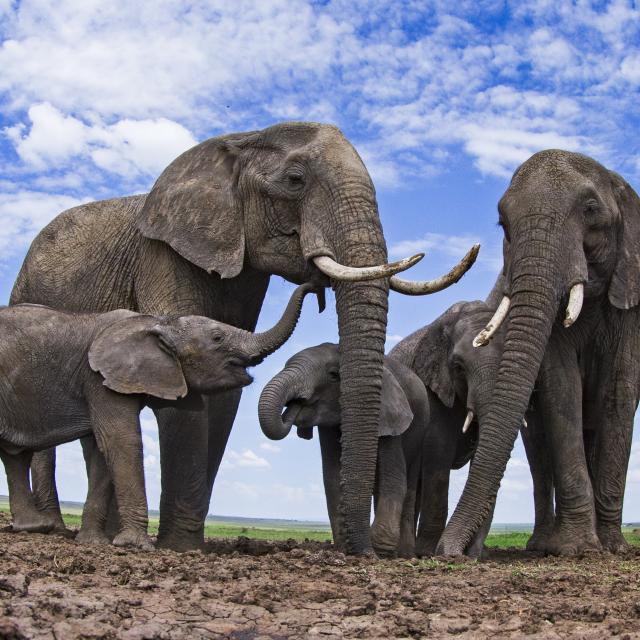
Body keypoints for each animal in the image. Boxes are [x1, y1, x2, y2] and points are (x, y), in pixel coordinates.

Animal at [0, 283, 313, 549]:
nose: (314, 288)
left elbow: (102, 450)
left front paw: (94, 544)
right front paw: (136, 546)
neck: (159, 324)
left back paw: (32, 527)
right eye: (217, 337)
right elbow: (122, 441)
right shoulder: (98, 378)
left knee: (15, 456)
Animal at [257, 342, 429, 558]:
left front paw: (379, 550)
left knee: (409, 482)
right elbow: (332, 476)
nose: (295, 405)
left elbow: (394, 479)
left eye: (333, 375)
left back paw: (405, 555)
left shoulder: (390, 415)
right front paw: (345, 548)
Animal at [438, 150, 640, 556]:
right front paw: (578, 549)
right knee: (539, 454)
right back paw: (542, 544)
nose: (446, 553)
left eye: (591, 209)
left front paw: (612, 549)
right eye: (503, 224)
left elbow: (620, 392)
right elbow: (562, 389)